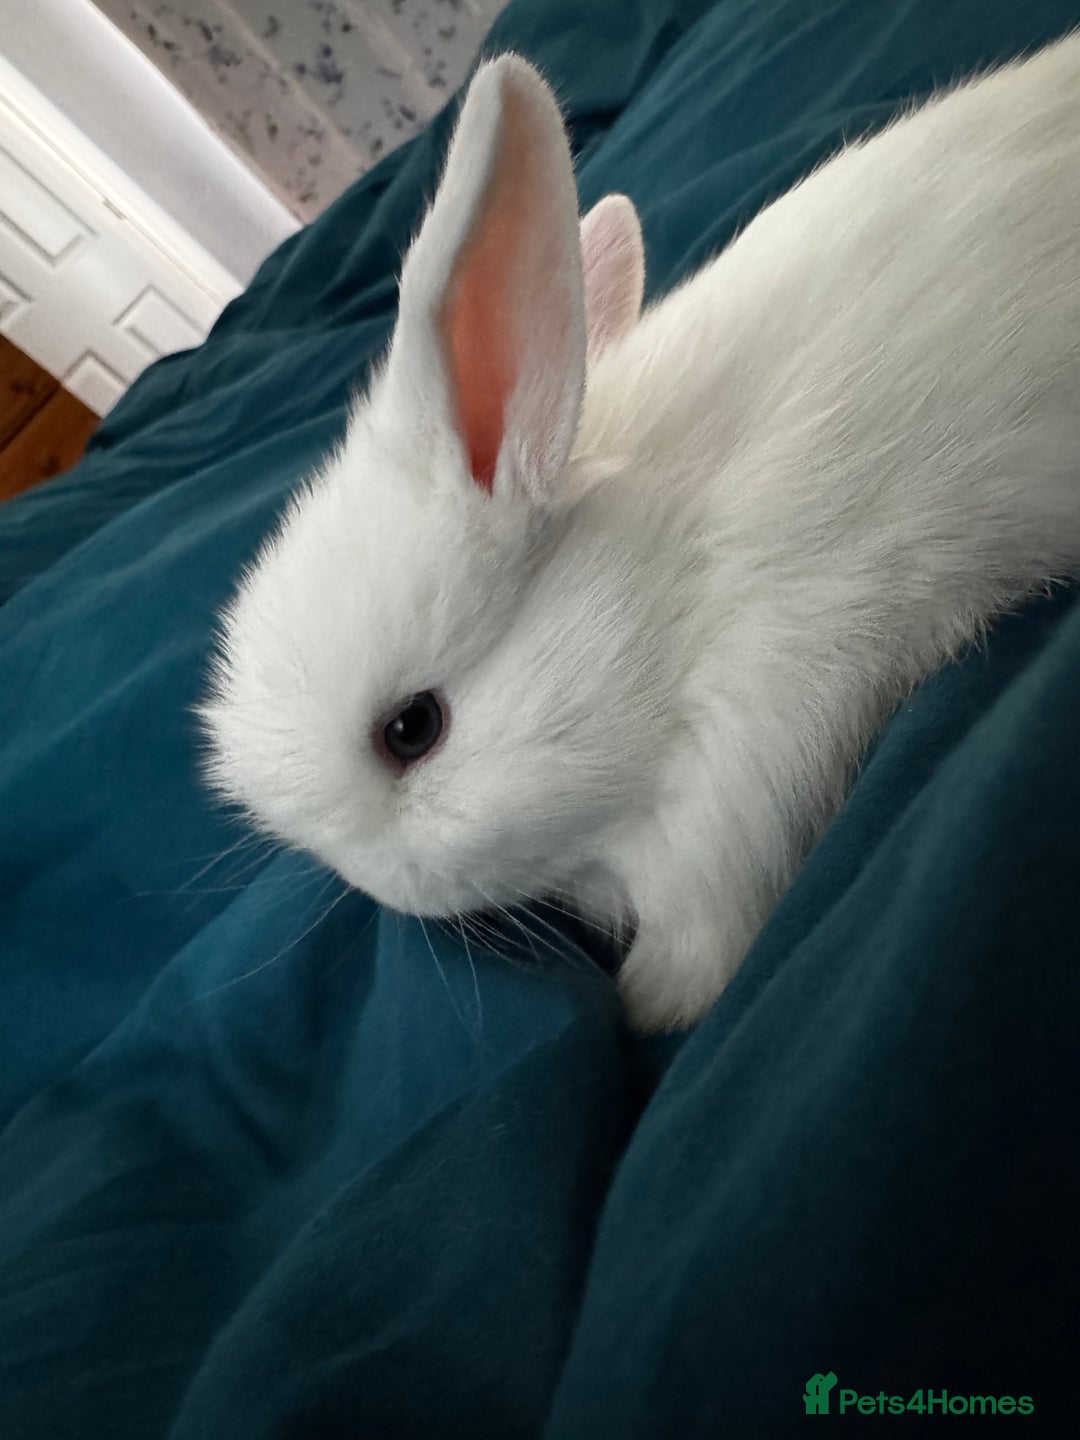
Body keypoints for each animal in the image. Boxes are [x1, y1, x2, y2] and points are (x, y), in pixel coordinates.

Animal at [201, 40, 1080, 1032]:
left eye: (412, 729)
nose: (375, 886)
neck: (667, 608)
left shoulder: (740, 794)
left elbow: (698, 947)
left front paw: (646, 1008)